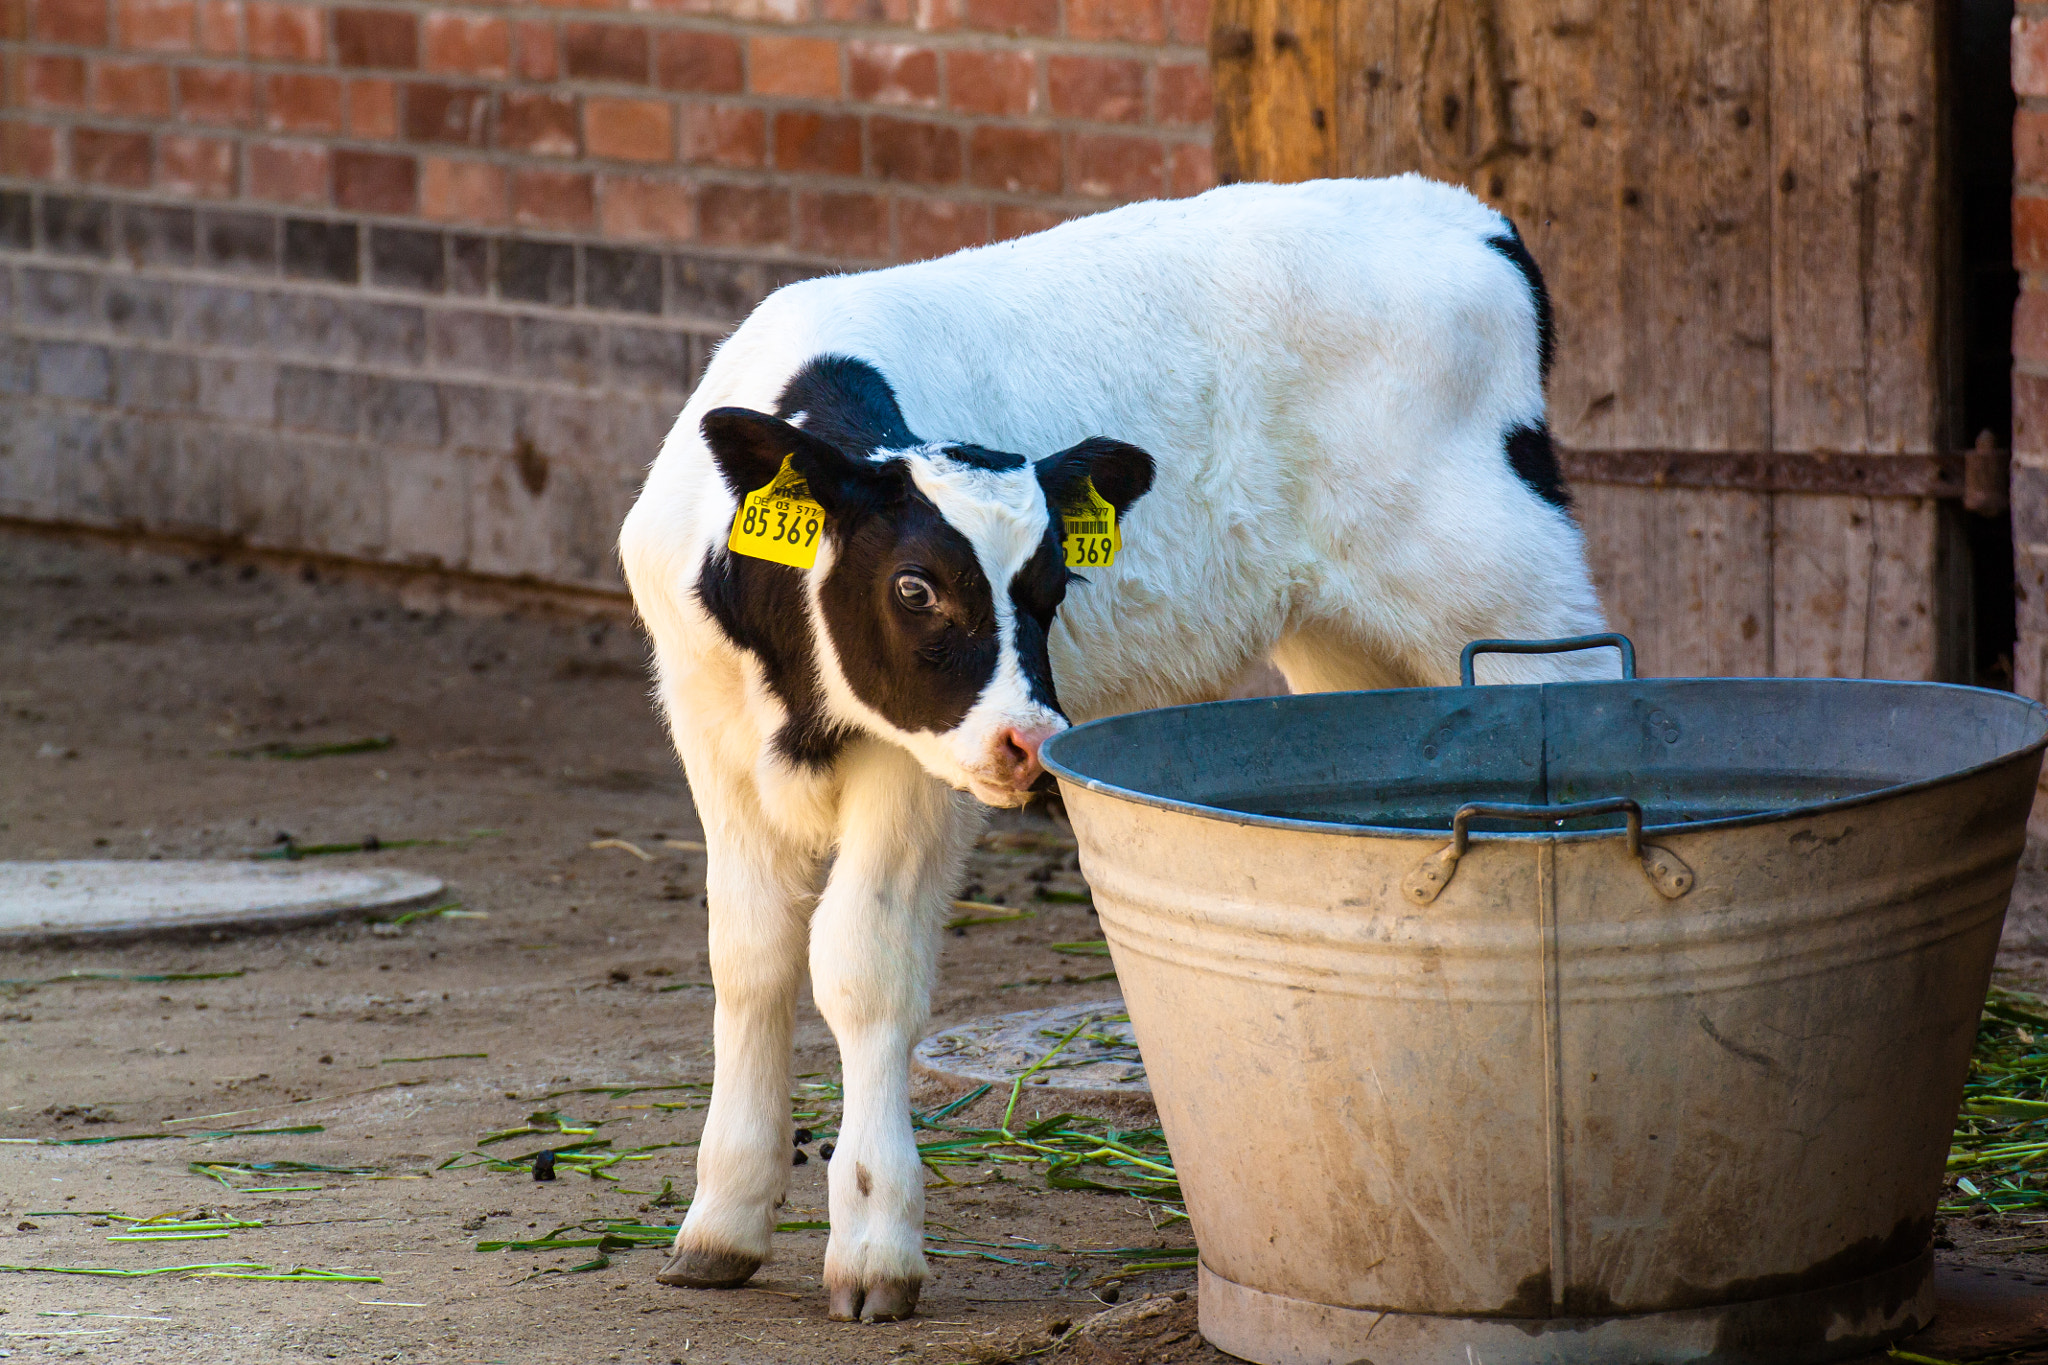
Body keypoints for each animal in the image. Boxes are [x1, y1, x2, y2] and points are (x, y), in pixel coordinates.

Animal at [617, 173, 1609, 1323]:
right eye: (914, 586)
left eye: (1053, 585)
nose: (1030, 739)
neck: (799, 695)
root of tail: (1456, 210)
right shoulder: (711, 735)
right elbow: (748, 958)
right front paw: (719, 1220)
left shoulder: (918, 774)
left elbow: (860, 967)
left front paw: (871, 1243)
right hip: (1347, 635)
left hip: (1511, 592)